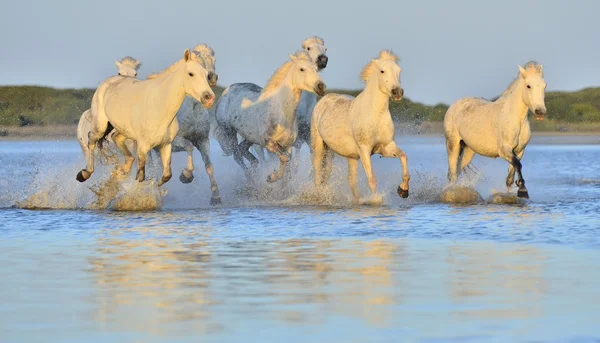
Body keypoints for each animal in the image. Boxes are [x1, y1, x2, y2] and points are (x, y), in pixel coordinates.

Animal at [76, 49, 214, 187]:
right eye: (191, 74)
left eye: (207, 75)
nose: (209, 98)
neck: (159, 106)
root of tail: (108, 82)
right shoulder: (143, 147)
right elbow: (141, 176)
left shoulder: (165, 145)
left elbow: (166, 175)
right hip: (100, 126)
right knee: (91, 140)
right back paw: (84, 174)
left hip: (123, 130)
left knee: (117, 138)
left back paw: (123, 169)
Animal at [216, 50, 326, 183]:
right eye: (302, 69)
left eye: (316, 69)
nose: (321, 87)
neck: (281, 112)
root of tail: (227, 91)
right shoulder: (267, 141)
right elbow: (284, 158)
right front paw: (271, 177)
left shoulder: (288, 145)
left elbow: (287, 163)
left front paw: (276, 177)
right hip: (229, 131)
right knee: (237, 155)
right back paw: (250, 178)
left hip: (249, 137)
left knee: (243, 150)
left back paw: (254, 169)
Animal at [312, 49, 410, 203]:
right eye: (382, 71)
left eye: (399, 70)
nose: (397, 92)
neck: (375, 114)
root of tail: (324, 99)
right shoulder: (364, 150)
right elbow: (372, 179)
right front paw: (376, 200)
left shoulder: (386, 147)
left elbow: (404, 157)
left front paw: (403, 191)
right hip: (319, 147)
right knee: (318, 173)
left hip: (350, 157)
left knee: (350, 180)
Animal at [442, 60, 548, 198]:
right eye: (528, 86)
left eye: (544, 86)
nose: (540, 112)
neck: (515, 118)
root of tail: (454, 106)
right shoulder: (504, 150)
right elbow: (518, 165)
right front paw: (523, 190)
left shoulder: (519, 151)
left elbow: (511, 176)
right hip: (453, 145)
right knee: (453, 173)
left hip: (468, 150)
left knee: (458, 170)